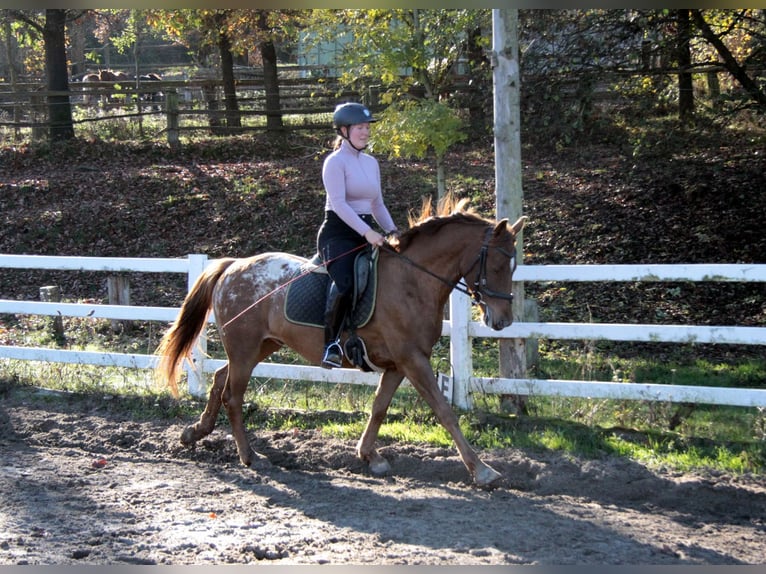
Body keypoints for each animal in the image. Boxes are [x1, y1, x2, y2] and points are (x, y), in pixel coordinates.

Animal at [156, 199, 528, 490]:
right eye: (497, 264)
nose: (502, 321)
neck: (413, 280)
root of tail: (234, 266)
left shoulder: (399, 363)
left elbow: (379, 408)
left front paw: (369, 456)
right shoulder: (413, 360)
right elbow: (445, 411)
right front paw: (482, 471)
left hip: (261, 345)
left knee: (220, 379)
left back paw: (195, 432)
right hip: (245, 349)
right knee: (233, 396)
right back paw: (250, 456)